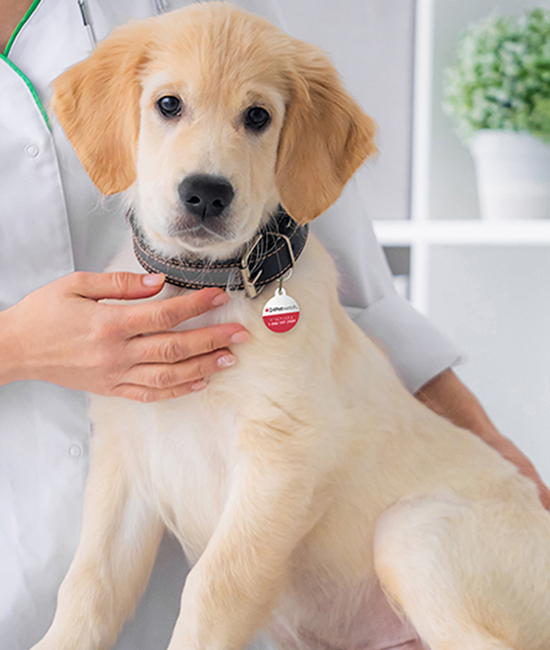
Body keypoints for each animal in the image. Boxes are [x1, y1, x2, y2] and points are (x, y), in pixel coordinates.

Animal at [33, 5, 550, 648]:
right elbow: (88, 588)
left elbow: (214, 586)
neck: (203, 287)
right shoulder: (126, 457)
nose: (206, 193)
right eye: (168, 104)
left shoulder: (283, 454)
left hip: (412, 534)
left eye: (258, 116)